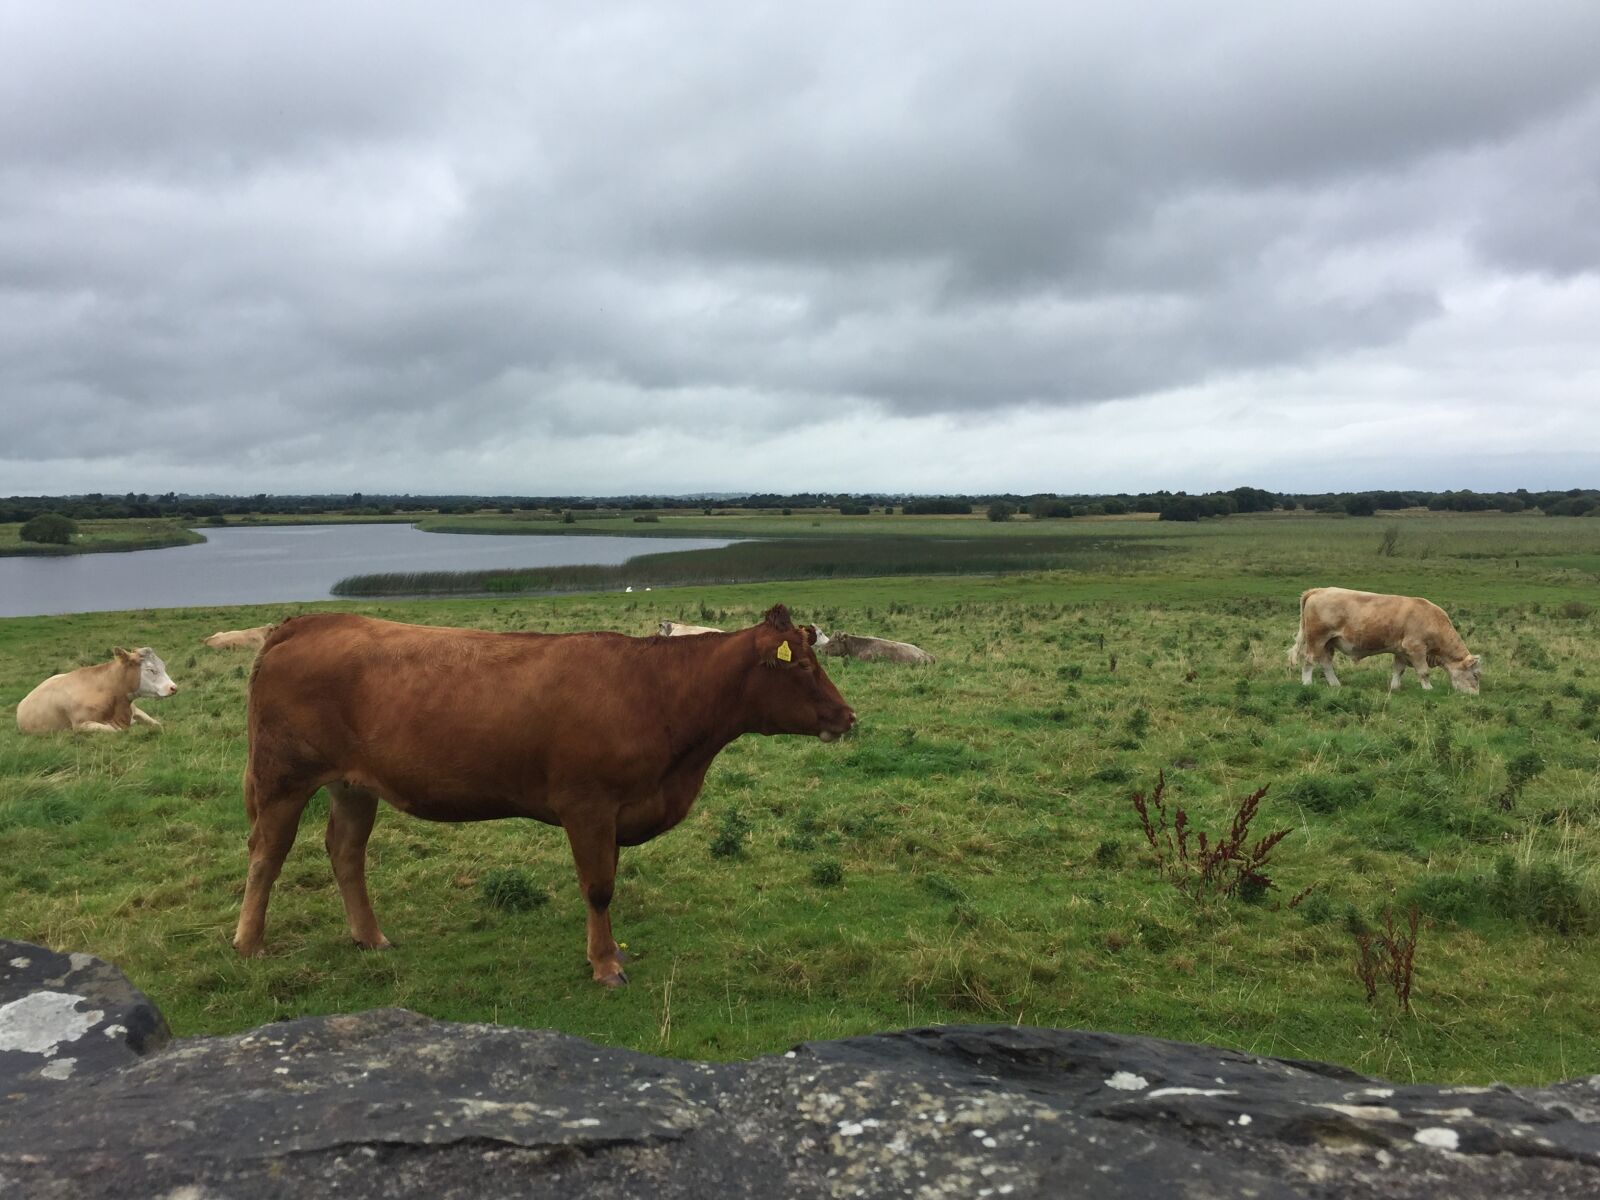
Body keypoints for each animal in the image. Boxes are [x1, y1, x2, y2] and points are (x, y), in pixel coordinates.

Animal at [15, 648, 179, 733]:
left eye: (163, 666)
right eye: (150, 670)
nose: (173, 687)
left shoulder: (135, 710)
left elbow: (157, 724)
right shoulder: (81, 725)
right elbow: (116, 731)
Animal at [233, 604, 855, 986]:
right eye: (801, 664)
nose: (848, 717)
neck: (657, 694)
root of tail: (305, 622)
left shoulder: (616, 811)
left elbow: (608, 880)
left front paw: (610, 951)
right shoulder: (587, 804)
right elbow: (599, 887)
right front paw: (605, 966)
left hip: (353, 784)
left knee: (345, 851)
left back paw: (371, 938)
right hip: (283, 778)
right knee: (267, 853)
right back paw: (249, 945)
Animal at [1289, 587, 1482, 694]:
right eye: (1475, 675)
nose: (1475, 695)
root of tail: (1319, 590)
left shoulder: (1401, 651)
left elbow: (1398, 670)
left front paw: (1395, 687)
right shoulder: (1416, 648)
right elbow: (1423, 672)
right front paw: (1428, 688)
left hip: (1329, 642)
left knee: (1326, 663)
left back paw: (1335, 684)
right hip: (1316, 639)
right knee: (1309, 660)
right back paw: (1307, 683)